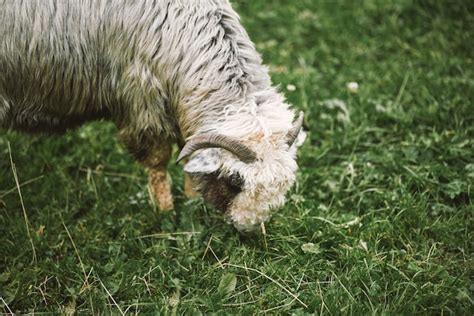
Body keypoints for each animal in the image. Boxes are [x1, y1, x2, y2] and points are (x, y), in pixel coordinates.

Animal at [0, 0, 304, 232]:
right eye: (234, 181)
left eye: (283, 185)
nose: (249, 230)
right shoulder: (143, 104)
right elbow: (158, 161)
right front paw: (165, 211)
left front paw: (191, 200)